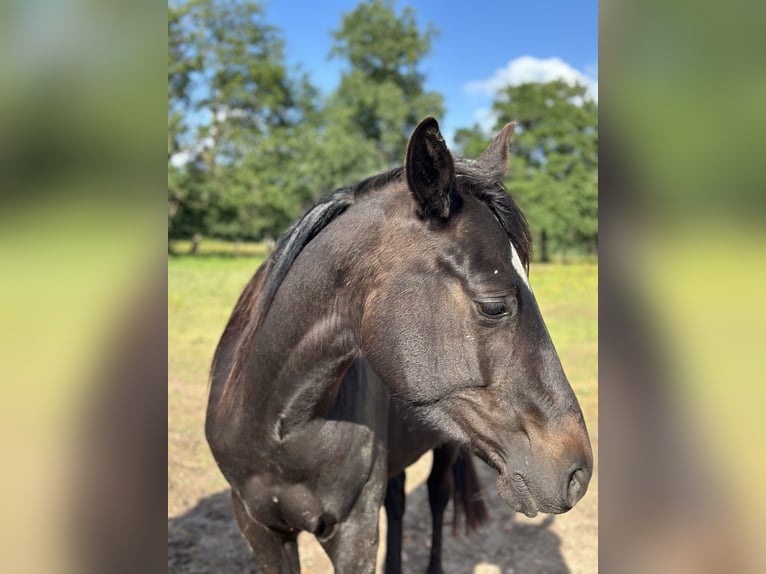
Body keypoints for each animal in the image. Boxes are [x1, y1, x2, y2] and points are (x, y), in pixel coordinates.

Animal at [205, 117, 593, 573]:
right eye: (494, 305)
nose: (579, 473)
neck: (277, 426)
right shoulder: (261, 529)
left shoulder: (354, 533)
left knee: (438, 496)